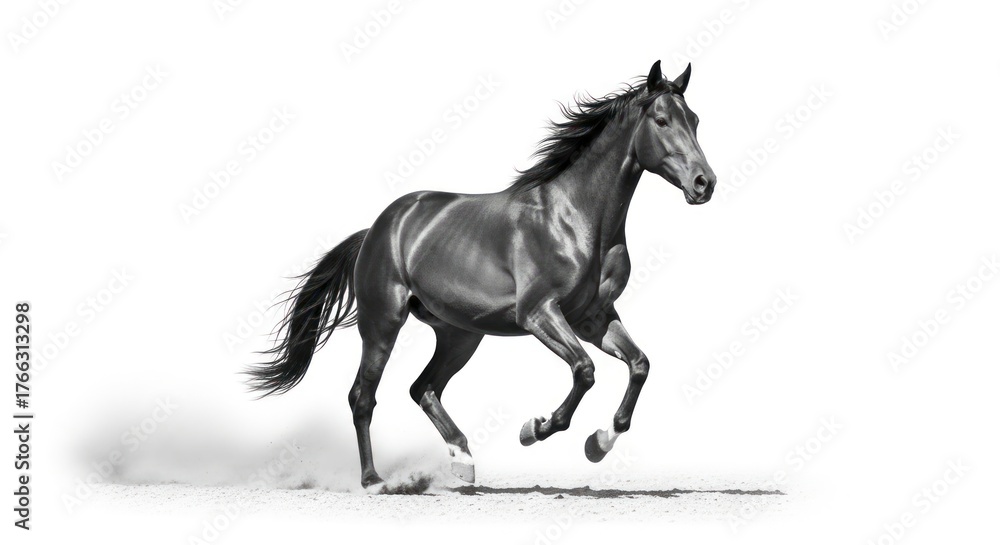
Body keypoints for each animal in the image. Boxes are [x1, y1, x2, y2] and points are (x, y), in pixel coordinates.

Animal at [248, 60, 717, 489]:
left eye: (694, 120)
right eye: (661, 120)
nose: (704, 183)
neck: (577, 218)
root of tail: (378, 228)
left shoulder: (593, 316)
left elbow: (639, 365)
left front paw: (599, 443)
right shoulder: (539, 313)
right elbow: (584, 370)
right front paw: (535, 429)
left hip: (460, 334)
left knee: (423, 388)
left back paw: (463, 461)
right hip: (383, 323)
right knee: (363, 396)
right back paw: (374, 480)